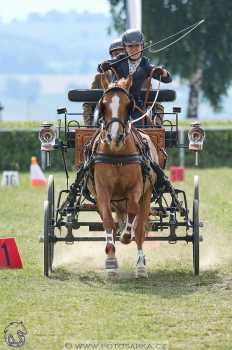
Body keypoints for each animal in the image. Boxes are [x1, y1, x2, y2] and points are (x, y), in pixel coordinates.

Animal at [87, 75, 160, 278]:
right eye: (103, 104)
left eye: (129, 105)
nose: (115, 137)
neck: (117, 154)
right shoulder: (102, 191)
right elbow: (107, 221)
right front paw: (111, 261)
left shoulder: (136, 189)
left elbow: (133, 214)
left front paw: (126, 236)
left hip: (146, 194)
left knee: (140, 227)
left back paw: (141, 265)